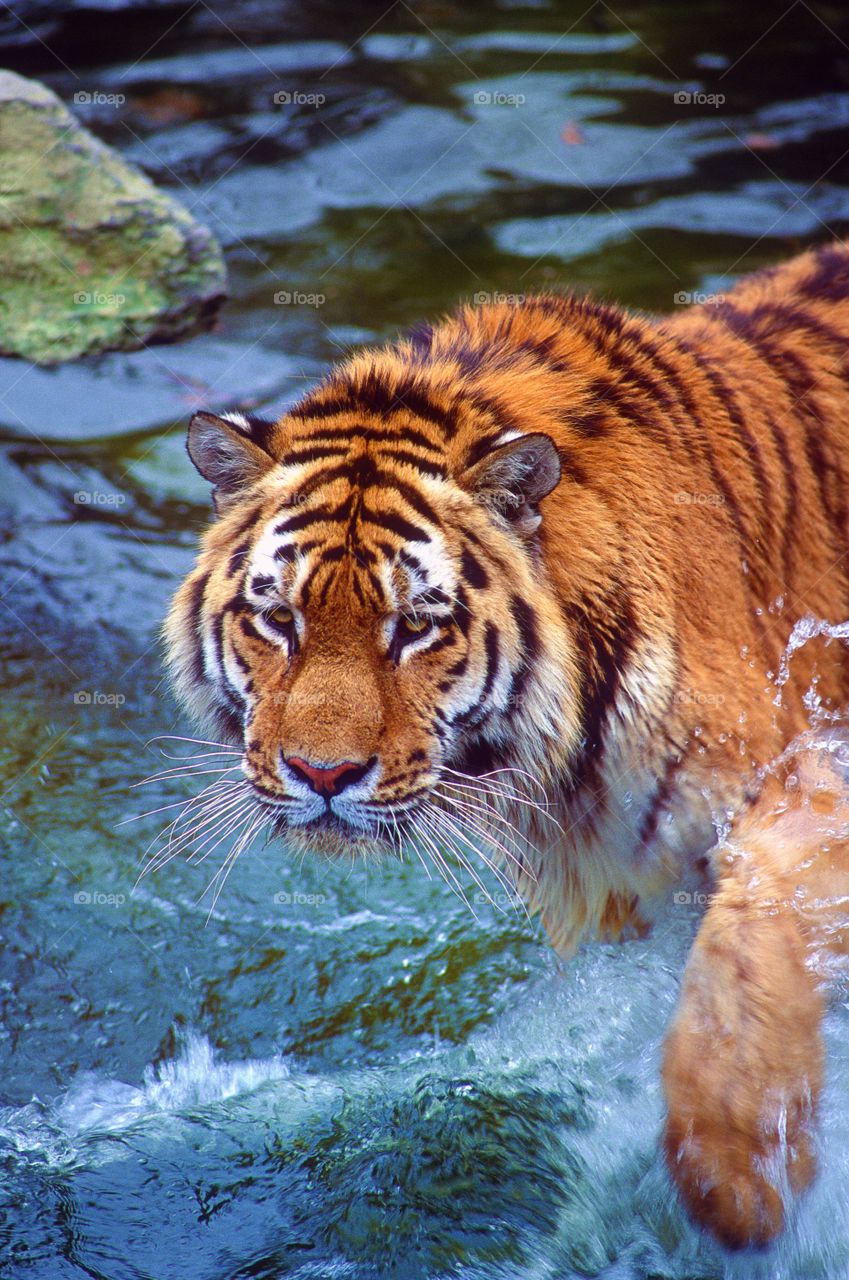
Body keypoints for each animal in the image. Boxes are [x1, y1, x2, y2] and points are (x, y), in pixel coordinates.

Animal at [165, 239, 849, 1250]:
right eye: (279, 619)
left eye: (413, 627)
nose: (322, 773)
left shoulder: (804, 774)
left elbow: (752, 933)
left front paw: (735, 1174)